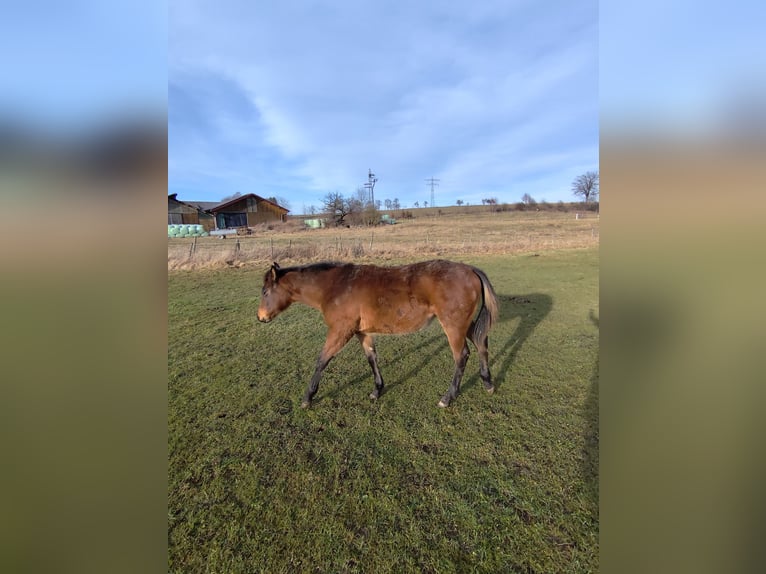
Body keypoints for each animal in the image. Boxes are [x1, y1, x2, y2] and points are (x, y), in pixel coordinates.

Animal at [257, 259, 499, 408]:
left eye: (266, 291)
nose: (260, 317)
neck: (335, 287)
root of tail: (470, 269)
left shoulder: (340, 331)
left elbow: (322, 360)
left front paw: (308, 397)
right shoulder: (361, 332)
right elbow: (372, 358)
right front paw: (377, 390)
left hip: (453, 326)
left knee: (462, 356)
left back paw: (447, 398)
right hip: (465, 324)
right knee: (481, 343)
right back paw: (488, 383)